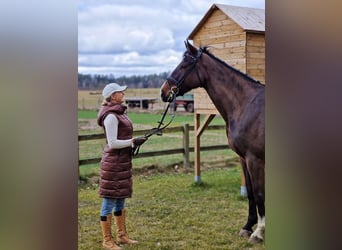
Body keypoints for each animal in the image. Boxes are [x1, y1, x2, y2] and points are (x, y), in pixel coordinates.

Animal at [159, 40, 266, 242]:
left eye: (184, 64)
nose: (164, 91)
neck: (246, 105)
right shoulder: (243, 158)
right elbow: (250, 192)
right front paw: (248, 226)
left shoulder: (255, 159)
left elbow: (259, 192)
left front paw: (259, 232)